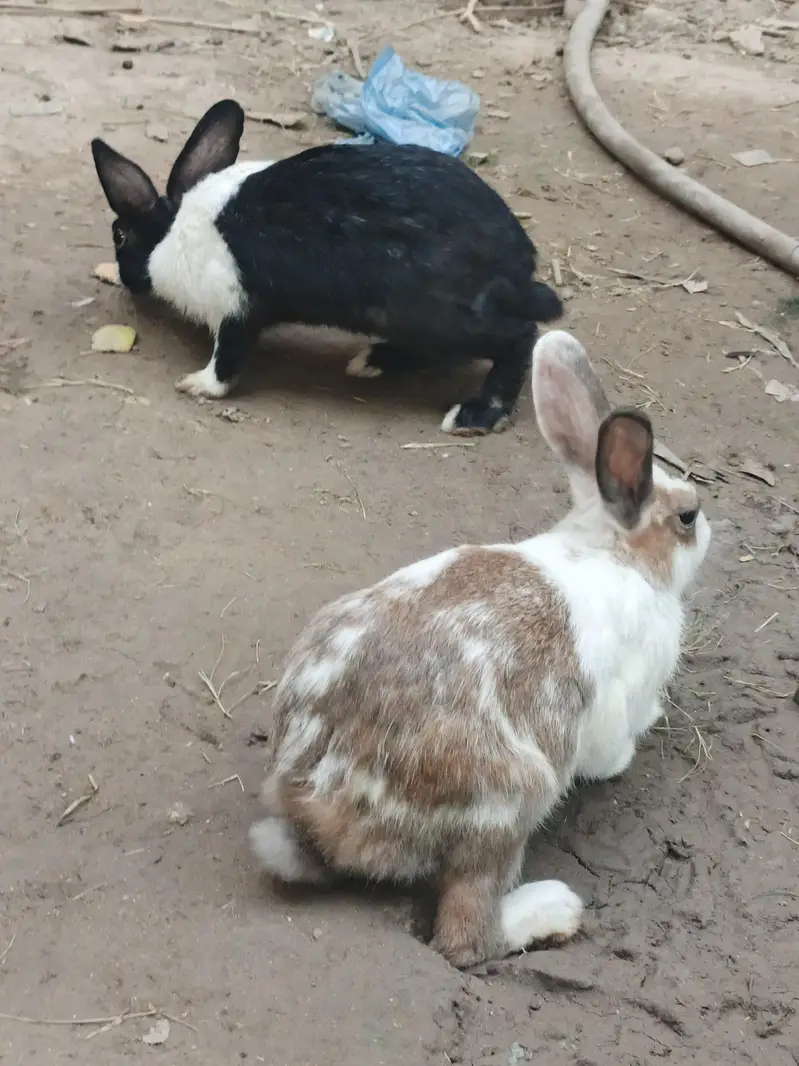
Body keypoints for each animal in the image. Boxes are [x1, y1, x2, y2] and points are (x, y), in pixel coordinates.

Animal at [90, 99, 563, 435]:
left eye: (119, 235)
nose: (124, 277)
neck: (173, 230)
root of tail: (517, 264)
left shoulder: (237, 311)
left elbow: (227, 360)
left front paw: (197, 385)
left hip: (435, 314)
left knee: (519, 337)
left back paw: (475, 415)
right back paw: (370, 361)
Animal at [247, 328, 712, 968]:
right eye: (687, 516)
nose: (709, 529)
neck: (615, 552)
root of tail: (317, 809)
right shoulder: (619, 701)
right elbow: (612, 746)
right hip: (511, 799)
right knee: (465, 936)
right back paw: (551, 910)